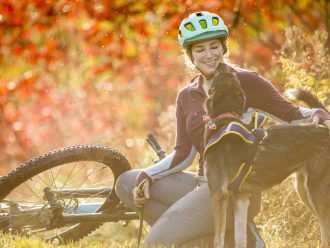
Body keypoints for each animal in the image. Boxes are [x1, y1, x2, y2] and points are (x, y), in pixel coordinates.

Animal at [205, 63, 328, 247]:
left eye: (221, 74)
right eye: (229, 74)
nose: (221, 64)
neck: (224, 118)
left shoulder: (219, 194)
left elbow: (218, 240)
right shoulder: (240, 197)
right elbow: (240, 238)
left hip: (317, 192)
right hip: (304, 190)